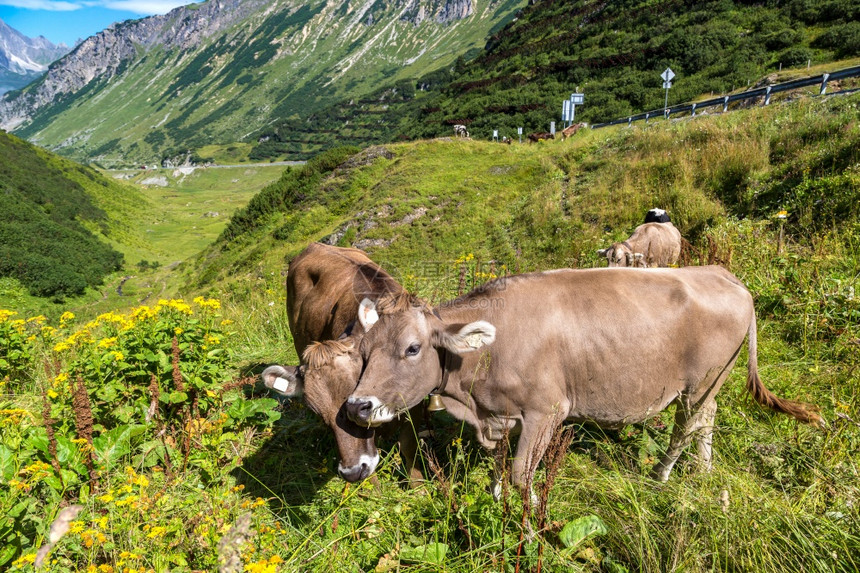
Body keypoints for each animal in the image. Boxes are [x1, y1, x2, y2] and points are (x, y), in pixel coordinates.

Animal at [346, 266, 824, 490]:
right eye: (364, 353)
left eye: (412, 348)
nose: (357, 406)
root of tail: (721, 273)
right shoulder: (502, 416)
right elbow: (500, 470)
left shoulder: (547, 411)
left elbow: (521, 475)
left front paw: (527, 528)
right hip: (707, 387)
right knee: (705, 423)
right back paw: (701, 475)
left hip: (700, 384)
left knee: (687, 427)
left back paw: (662, 476)